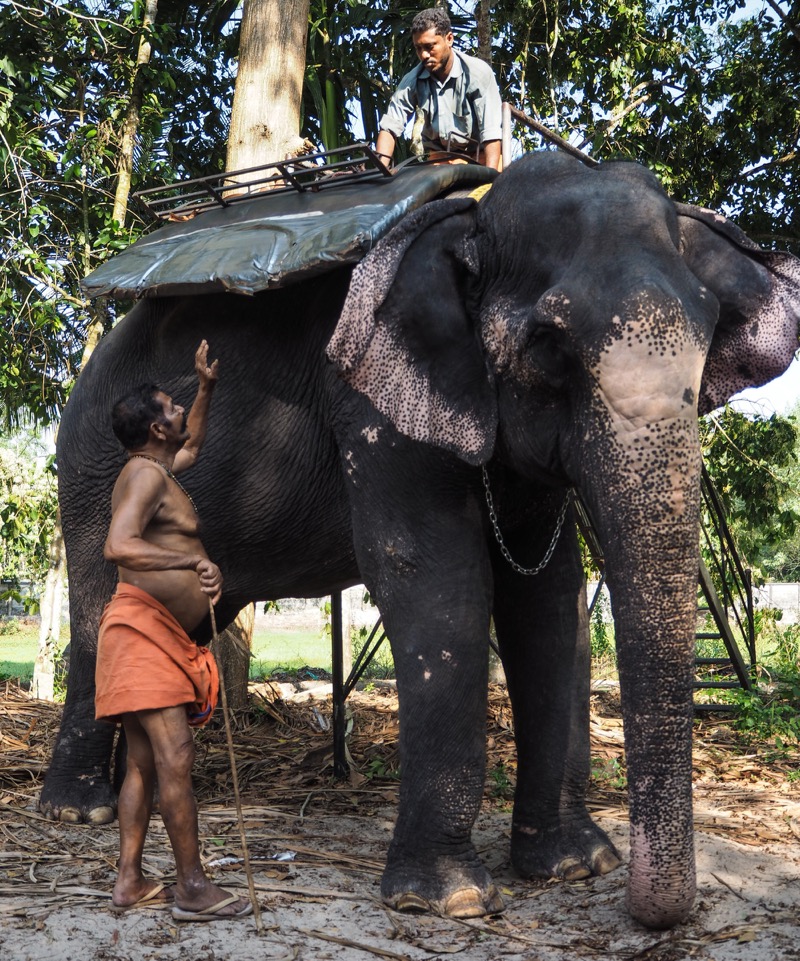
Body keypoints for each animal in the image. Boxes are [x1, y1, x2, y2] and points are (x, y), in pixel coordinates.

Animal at [40, 151, 800, 930]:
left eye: (710, 329)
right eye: (549, 346)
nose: (657, 911)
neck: (468, 218)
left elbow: (548, 595)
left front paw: (573, 867)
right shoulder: (369, 403)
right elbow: (438, 577)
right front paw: (450, 900)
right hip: (91, 466)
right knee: (98, 609)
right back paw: (79, 811)